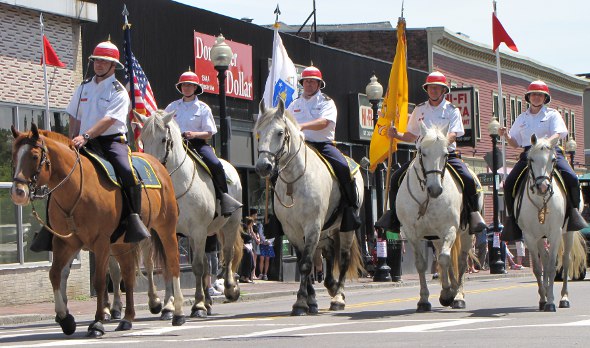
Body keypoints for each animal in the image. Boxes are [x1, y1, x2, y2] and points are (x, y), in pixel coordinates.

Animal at [12, 123, 187, 338]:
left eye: (35, 156)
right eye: (14, 155)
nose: (18, 193)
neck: (77, 188)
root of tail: (158, 164)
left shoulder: (101, 241)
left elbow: (99, 281)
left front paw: (97, 323)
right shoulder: (66, 242)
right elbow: (55, 274)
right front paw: (66, 319)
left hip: (166, 229)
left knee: (173, 264)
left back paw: (177, 312)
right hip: (121, 243)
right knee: (128, 274)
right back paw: (127, 319)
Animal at [135, 110, 244, 316]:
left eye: (164, 139)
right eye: (142, 140)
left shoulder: (198, 230)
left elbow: (198, 266)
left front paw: (198, 305)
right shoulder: (167, 232)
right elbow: (167, 265)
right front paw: (166, 305)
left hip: (229, 224)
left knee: (227, 254)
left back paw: (229, 290)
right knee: (209, 263)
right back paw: (208, 301)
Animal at [258, 98, 368, 316]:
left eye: (280, 132)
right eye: (258, 132)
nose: (262, 166)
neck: (294, 181)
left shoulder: (312, 226)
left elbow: (306, 264)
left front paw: (300, 303)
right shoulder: (293, 230)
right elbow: (303, 262)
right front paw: (310, 301)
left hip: (345, 227)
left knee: (343, 258)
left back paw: (338, 297)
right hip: (326, 230)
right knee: (329, 253)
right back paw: (330, 286)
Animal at [398, 121, 476, 312]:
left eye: (446, 154)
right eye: (422, 152)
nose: (435, 189)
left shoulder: (450, 229)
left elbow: (445, 259)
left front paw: (449, 293)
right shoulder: (412, 233)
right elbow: (421, 264)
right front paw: (424, 300)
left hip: (465, 234)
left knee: (460, 261)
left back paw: (458, 296)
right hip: (436, 238)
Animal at [520, 135, 588, 312]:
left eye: (553, 159)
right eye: (531, 159)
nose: (542, 187)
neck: (541, 201)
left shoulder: (555, 233)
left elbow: (551, 266)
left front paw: (551, 301)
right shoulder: (529, 236)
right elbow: (538, 268)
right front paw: (543, 299)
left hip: (568, 233)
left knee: (566, 260)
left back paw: (564, 298)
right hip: (540, 237)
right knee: (544, 259)